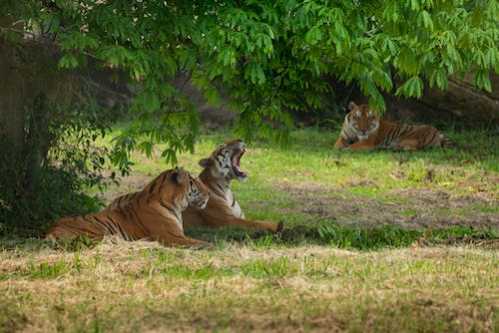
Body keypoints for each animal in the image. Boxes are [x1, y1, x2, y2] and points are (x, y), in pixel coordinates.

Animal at [45, 167, 211, 248]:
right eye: (195, 181)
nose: (209, 193)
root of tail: (50, 231)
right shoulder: (171, 236)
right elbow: (199, 242)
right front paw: (212, 246)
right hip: (97, 232)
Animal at [111, 140, 284, 233]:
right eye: (224, 146)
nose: (241, 139)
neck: (227, 187)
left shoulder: (238, 217)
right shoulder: (228, 221)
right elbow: (256, 223)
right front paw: (277, 225)